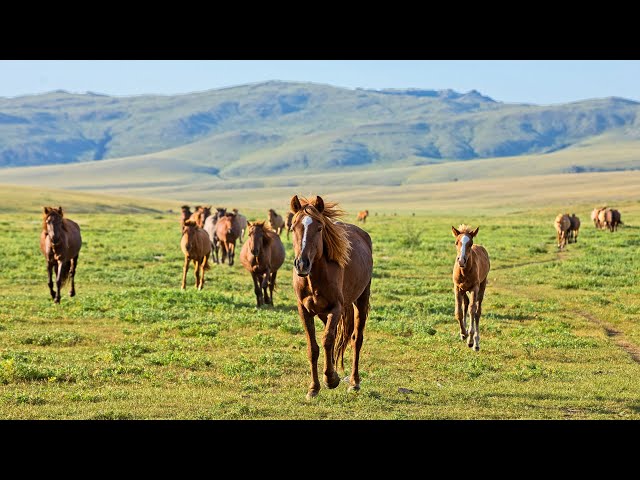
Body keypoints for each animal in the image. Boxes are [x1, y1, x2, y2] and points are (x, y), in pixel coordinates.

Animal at [288, 193, 372, 400]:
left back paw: (354, 382)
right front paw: (313, 387)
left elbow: (327, 340)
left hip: (361, 299)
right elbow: (314, 347)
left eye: (319, 228)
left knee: (356, 339)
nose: (302, 264)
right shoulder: (305, 310)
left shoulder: (336, 308)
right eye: (293, 227)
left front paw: (331, 379)